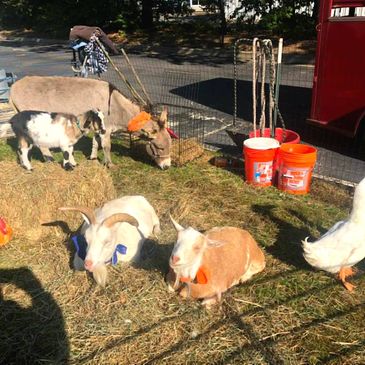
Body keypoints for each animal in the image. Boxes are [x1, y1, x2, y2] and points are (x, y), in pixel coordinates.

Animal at [9, 76, 172, 169]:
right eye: (160, 147)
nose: (167, 167)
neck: (116, 106)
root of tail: (13, 87)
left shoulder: (98, 126)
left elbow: (95, 142)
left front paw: (93, 158)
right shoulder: (106, 129)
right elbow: (106, 146)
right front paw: (109, 164)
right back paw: (49, 159)